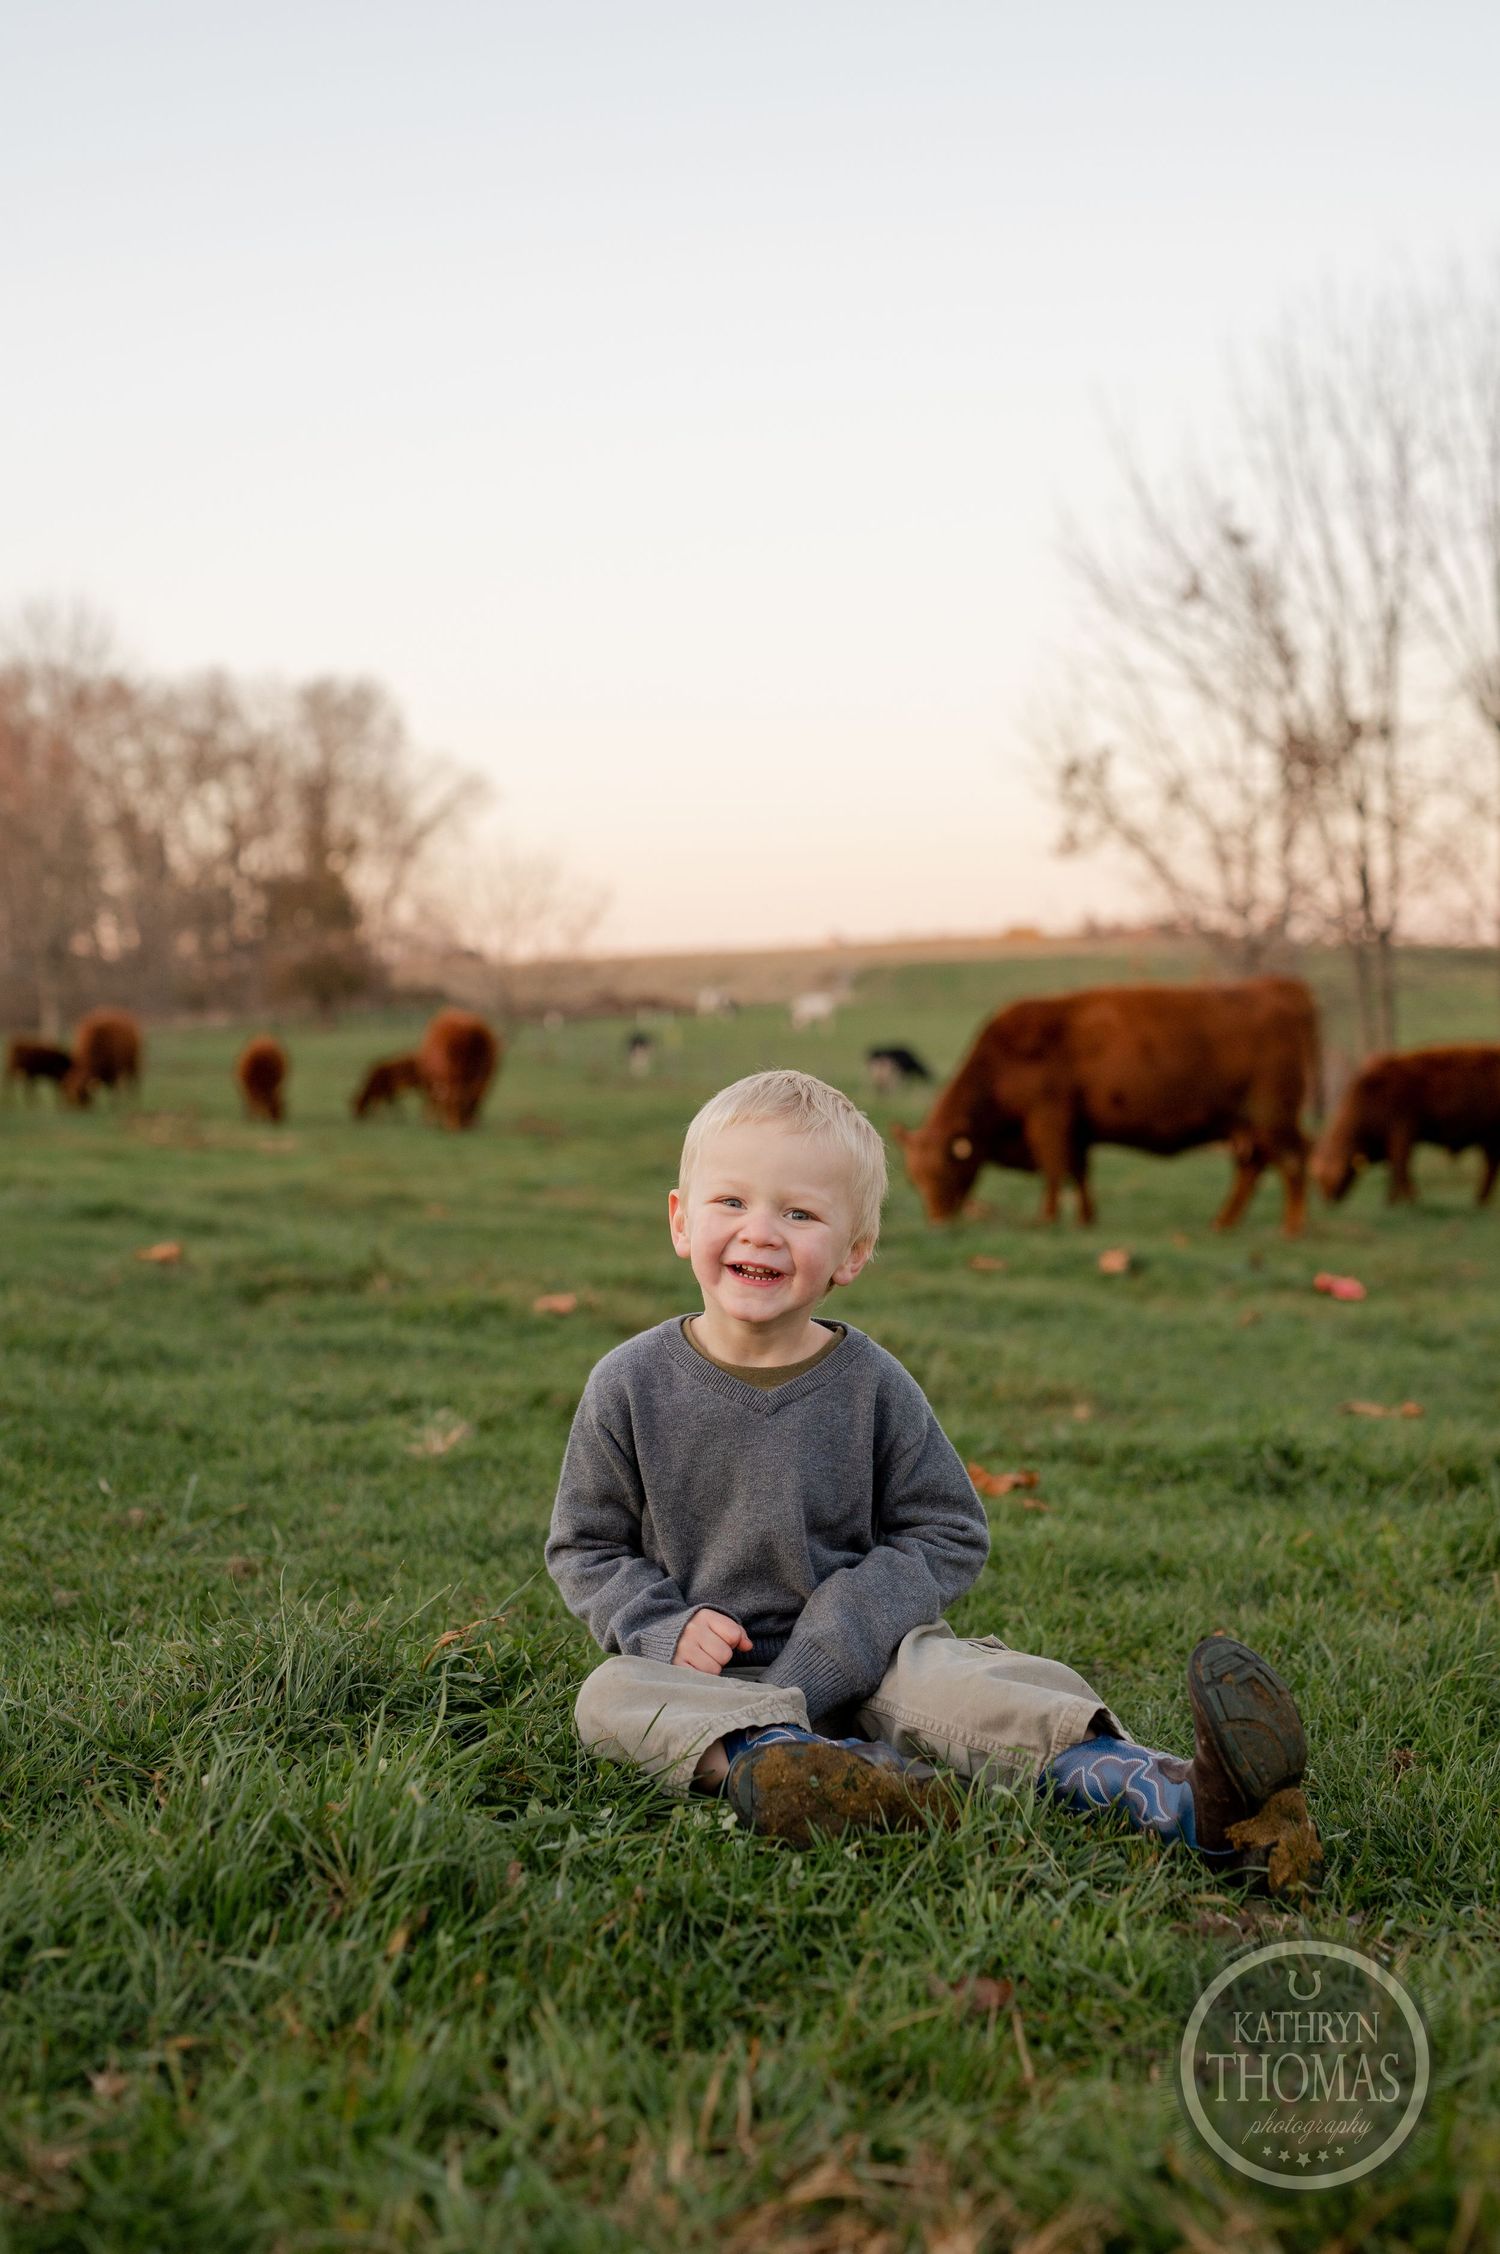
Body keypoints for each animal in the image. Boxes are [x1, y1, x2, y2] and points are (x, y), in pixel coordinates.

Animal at [894, 978, 1319, 1235]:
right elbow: (1080, 1173)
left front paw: (1047, 1218)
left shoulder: (1049, 1122)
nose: (936, 1220)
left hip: (1272, 1116)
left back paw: (1292, 1227)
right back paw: (1224, 1222)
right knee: (1252, 1169)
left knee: (1294, 1160)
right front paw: (1085, 1218)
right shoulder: (1078, 1131)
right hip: (1247, 1127)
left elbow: (1055, 1171)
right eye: (913, 1179)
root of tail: (1277, 986)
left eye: (943, 1170)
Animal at [1311, 1044, 1500, 1206]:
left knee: (1490, 1166)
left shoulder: (1401, 1135)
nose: (1328, 1198)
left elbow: (1401, 1168)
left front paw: (1410, 1200)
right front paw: (1391, 1201)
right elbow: (1394, 1170)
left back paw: (1481, 1200)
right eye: (1319, 1177)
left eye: (1336, 1173)